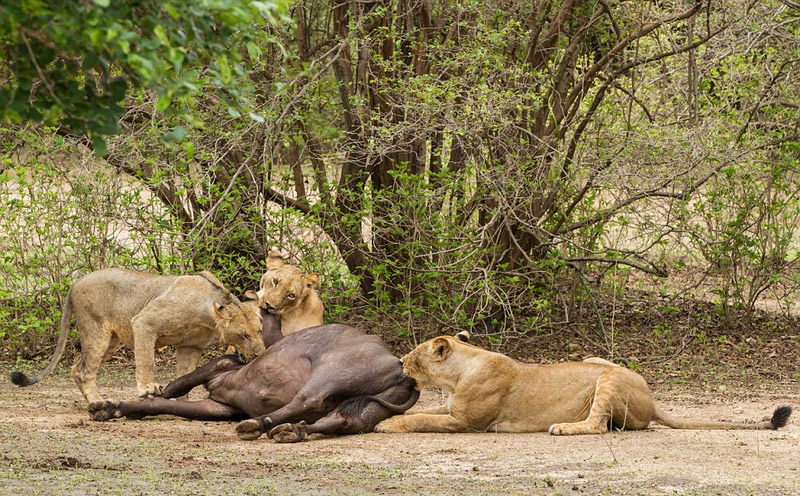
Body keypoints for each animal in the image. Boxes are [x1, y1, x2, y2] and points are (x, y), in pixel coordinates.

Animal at [8, 268, 266, 404]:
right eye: (242, 335)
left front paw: (182, 402)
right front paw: (148, 388)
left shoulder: (190, 347)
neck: (206, 312)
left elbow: (186, 375)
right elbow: (146, 360)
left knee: (75, 368)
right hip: (96, 332)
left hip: (111, 340)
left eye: (259, 331)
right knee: (84, 371)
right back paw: (98, 403)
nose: (259, 354)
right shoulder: (144, 323)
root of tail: (76, 283)